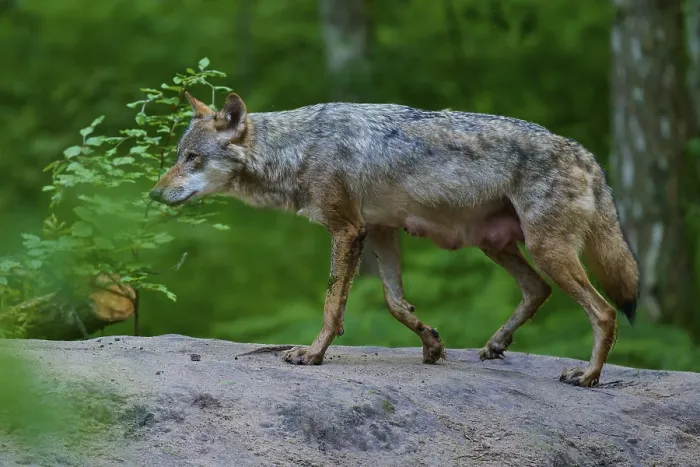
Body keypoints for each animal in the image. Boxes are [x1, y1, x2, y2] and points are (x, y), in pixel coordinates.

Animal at [149, 91, 640, 388]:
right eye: (178, 156)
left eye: (192, 158)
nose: (153, 194)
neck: (299, 148)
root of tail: (583, 152)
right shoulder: (381, 230)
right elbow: (395, 303)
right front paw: (432, 344)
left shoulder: (347, 231)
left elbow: (332, 306)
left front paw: (313, 354)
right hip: (496, 245)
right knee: (538, 289)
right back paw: (496, 345)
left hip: (545, 250)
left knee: (604, 311)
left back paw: (589, 375)